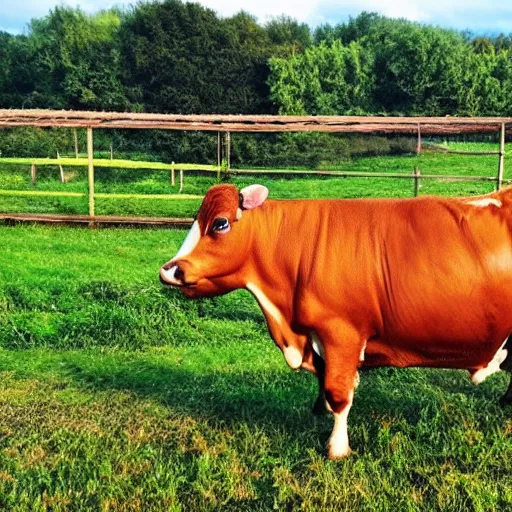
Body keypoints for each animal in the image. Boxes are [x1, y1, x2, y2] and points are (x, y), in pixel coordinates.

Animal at [160, 185, 512, 460]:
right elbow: (327, 382)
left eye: (219, 224)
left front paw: (337, 447)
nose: (169, 270)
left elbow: (338, 392)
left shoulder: (341, 333)